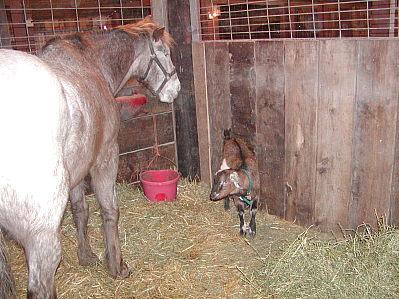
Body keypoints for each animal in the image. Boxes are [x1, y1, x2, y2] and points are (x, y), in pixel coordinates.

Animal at [0, 17, 180, 298]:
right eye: (165, 54)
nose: (176, 89)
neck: (91, 64)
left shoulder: (77, 170)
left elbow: (80, 211)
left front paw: (86, 256)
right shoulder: (105, 157)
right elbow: (110, 210)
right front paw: (116, 266)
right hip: (42, 234)